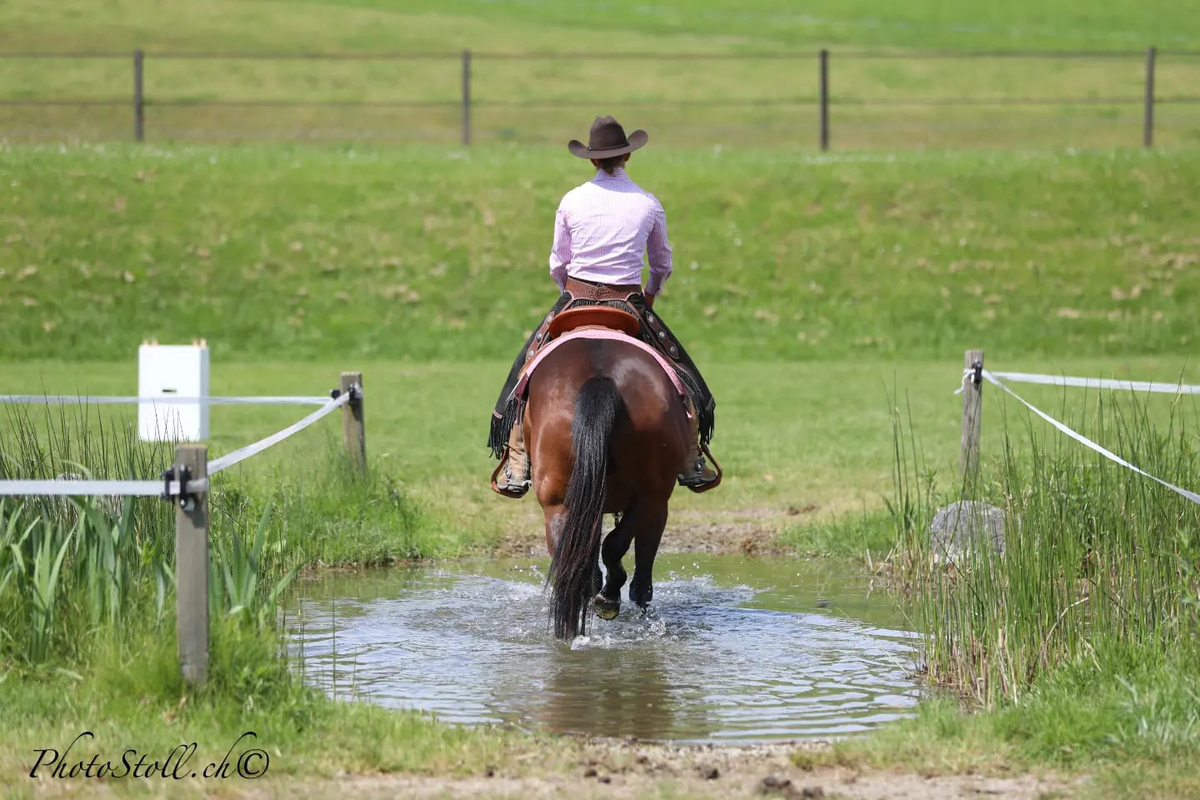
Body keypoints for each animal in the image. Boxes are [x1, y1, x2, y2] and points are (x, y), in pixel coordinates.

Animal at [523, 335, 691, 642]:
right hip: (652, 496)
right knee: (615, 548)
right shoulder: (660, 509)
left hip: (558, 502)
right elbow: (642, 571)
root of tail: (600, 378)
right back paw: (608, 599)